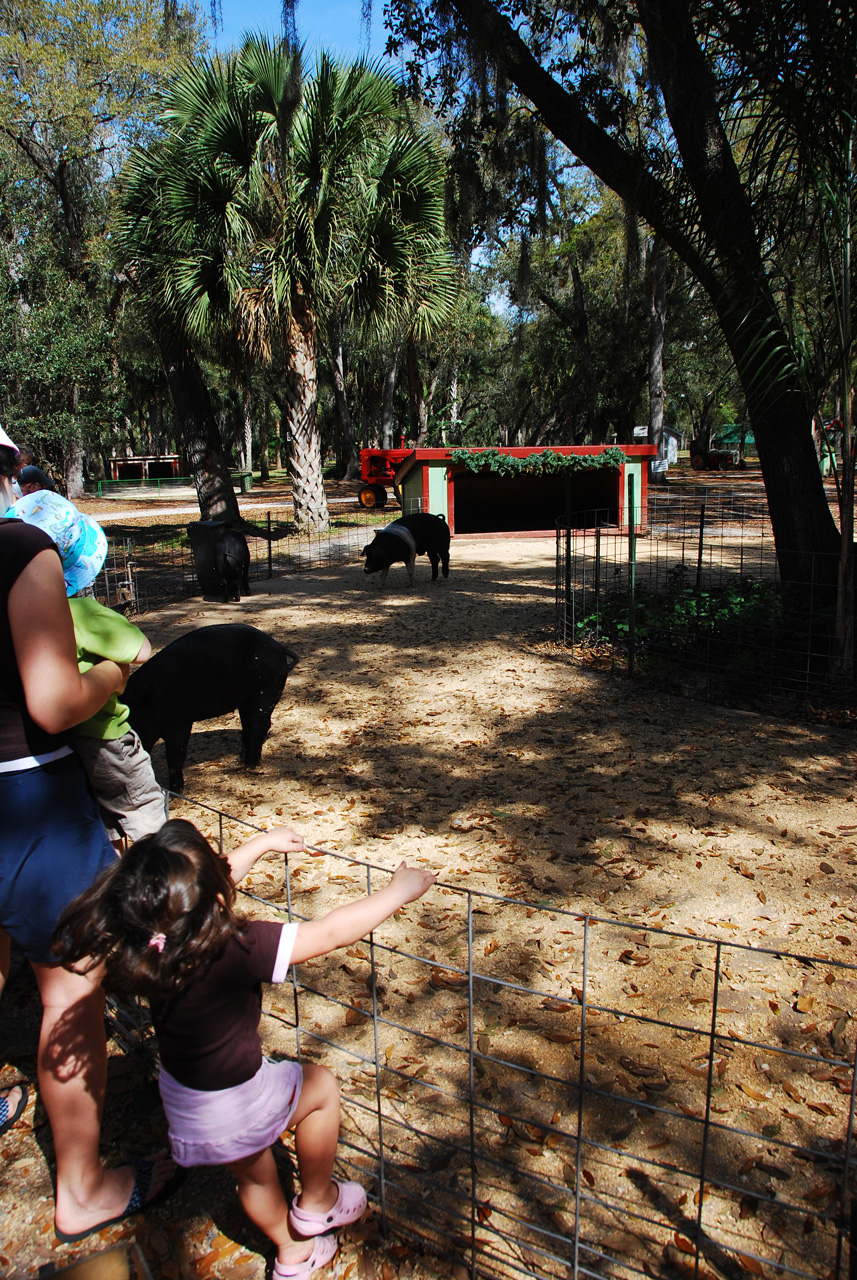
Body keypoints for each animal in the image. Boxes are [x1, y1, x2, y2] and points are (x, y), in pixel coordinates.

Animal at [124, 624, 299, 793]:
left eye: (134, 725)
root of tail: (278, 647)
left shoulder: (179, 722)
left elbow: (175, 756)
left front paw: (175, 794)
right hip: (246, 699)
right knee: (247, 724)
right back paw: (240, 760)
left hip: (265, 689)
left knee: (259, 724)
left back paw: (249, 766)